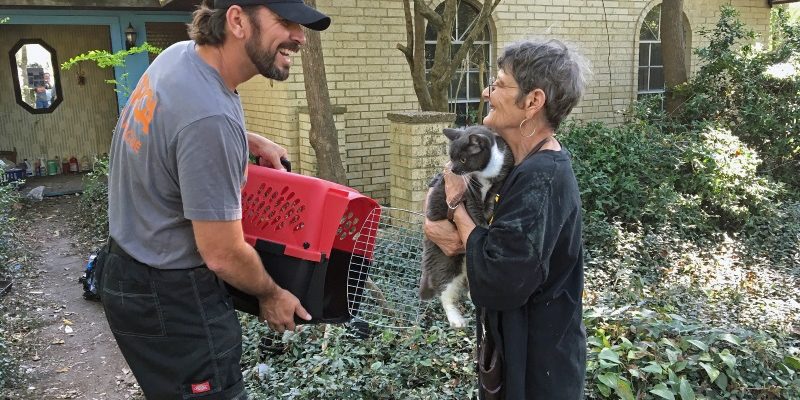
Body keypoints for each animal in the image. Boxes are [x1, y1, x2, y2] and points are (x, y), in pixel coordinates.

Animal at [418, 125, 512, 328]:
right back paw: (456, 319)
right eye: (451, 157)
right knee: (444, 290)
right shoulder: (468, 192)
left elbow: (493, 193)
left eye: (462, 159)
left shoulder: (504, 167)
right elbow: (474, 210)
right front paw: (484, 226)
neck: (485, 172)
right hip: (445, 260)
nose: (452, 169)